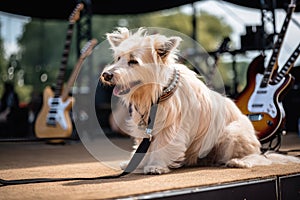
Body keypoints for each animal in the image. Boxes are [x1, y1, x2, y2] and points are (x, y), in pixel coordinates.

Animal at [101, 27, 300, 174]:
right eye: (118, 58)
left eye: (133, 62)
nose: (106, 74)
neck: (156, 93)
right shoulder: (145, 128)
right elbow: (143, 147)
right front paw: (137, 163)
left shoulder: (170, 128)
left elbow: (162, 146)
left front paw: (156, 166)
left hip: (232, 133)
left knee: (257, 157)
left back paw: (239, 161)